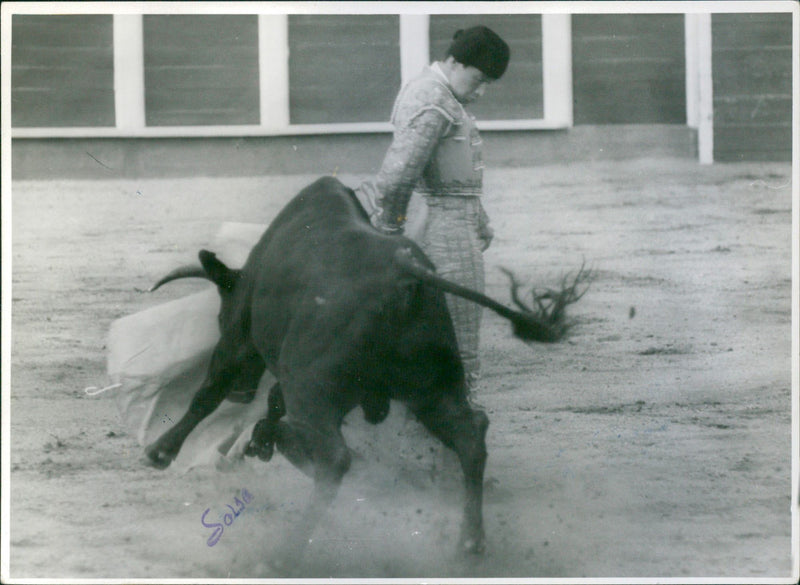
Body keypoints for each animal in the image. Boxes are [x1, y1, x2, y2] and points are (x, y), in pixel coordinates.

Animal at [144, 176, 584, 568]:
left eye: (219, 316)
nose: (242, 393)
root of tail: (406, 273)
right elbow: (270, 402)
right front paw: (259, 440)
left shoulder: (239, 339)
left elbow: (208, 393)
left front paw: (161, 452)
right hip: (431, 388)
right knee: (470, 433)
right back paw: (469, 545)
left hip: (312, 387)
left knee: (335, 458)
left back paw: (285, 552)